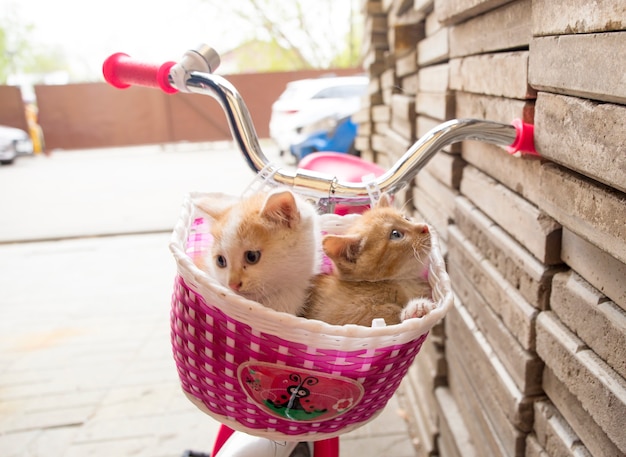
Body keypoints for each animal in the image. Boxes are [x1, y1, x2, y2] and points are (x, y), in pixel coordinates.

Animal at [302, 194, 434, 326]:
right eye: (396, 234)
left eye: (407, 218)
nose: (425, 227)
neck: (403, 281)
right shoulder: (341, 316)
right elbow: (385, 312)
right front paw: (414, 310)